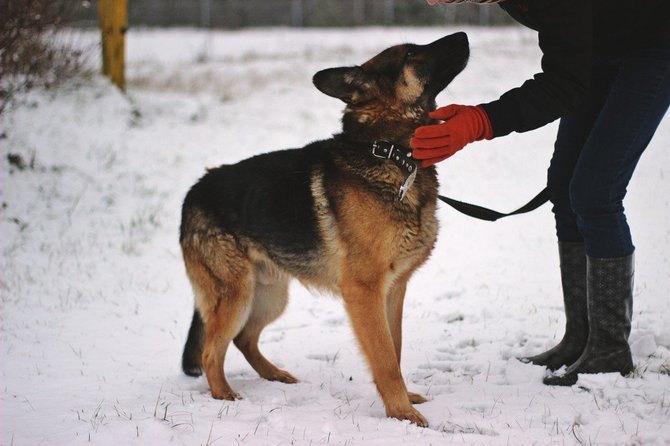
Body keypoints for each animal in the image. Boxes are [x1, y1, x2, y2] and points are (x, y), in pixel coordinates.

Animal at [181, 33, 470, 426]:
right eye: (411, 52)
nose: (464, 36)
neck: (388, 152)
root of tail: (194, 191)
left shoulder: (394, 291)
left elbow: (394, 348)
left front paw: (403, 402)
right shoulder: (364, 292)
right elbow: (384, 358)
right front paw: (402, 413)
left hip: (270, 296)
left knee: (243, 339)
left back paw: (274, 375)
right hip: (237, 294)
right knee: (212, 350)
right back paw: (225, 396)